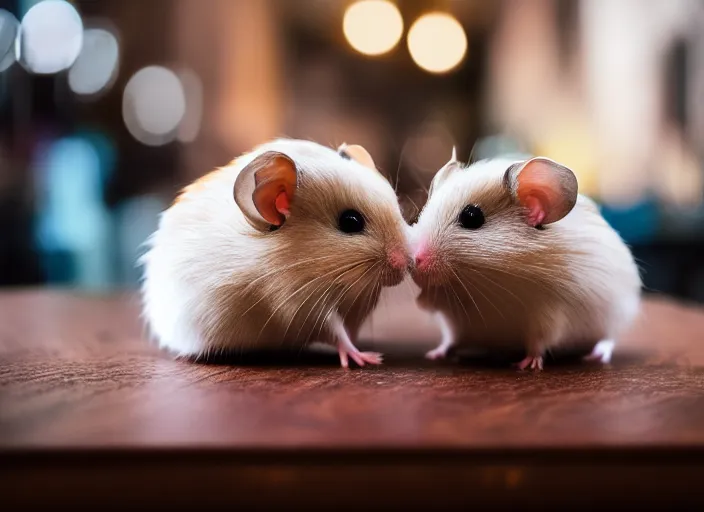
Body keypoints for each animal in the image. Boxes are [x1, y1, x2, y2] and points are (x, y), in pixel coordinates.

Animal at [409, 151, 642, 370]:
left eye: (472, 217)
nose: (415, 261)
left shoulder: (549, 314)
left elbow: (538, 343)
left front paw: (525, 366)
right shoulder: (452, 317)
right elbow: (448, 332)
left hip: (616, 314)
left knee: (609, 339)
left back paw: (596, 356)